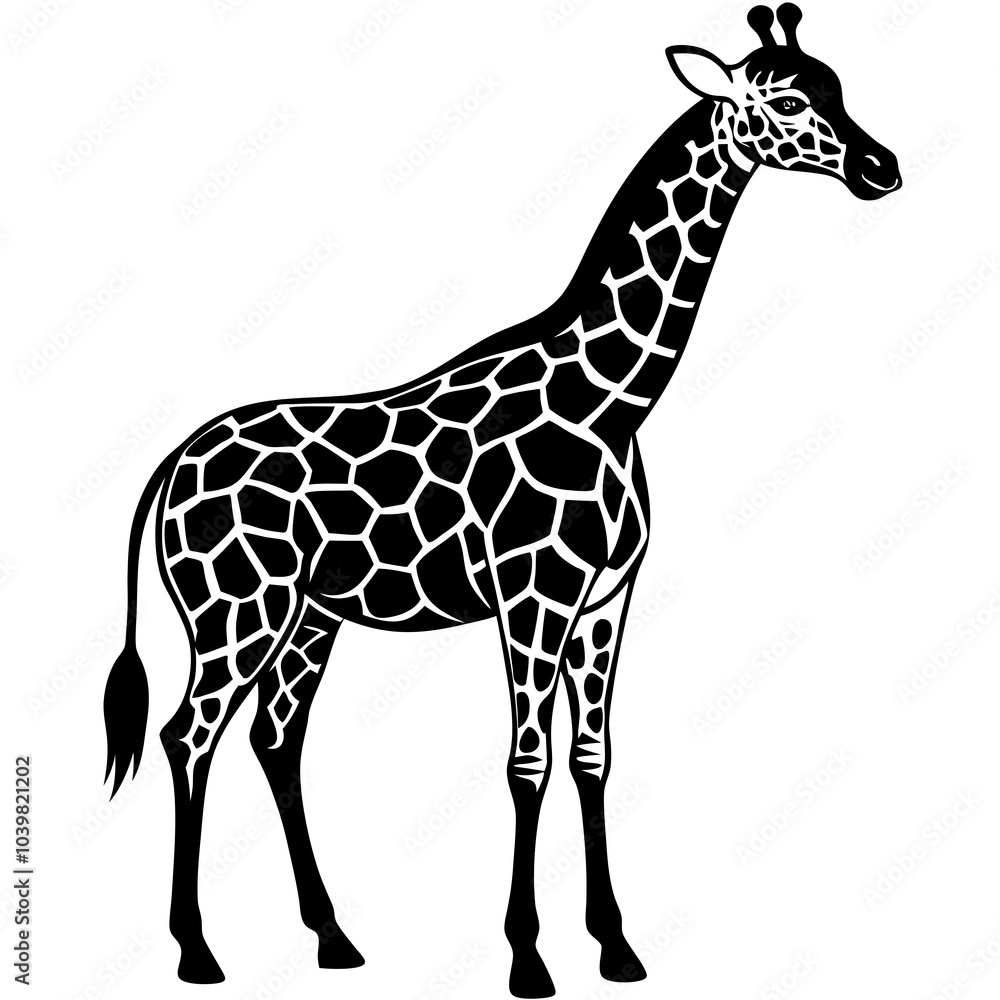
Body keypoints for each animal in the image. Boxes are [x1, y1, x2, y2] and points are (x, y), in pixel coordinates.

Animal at [103, 6, 901, 997]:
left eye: (840, 85)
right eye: (786, 101)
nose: (883, 169)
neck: (611, 399)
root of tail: (171, 464)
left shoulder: (604, 600)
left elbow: (593, 756)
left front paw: (617, 947)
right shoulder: (531, 595)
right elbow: (528, 762)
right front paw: (528, 959)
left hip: (310, 617)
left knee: (276, 740)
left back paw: (334, 937)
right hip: (236, 611)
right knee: (187, 735)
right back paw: (197, 950)